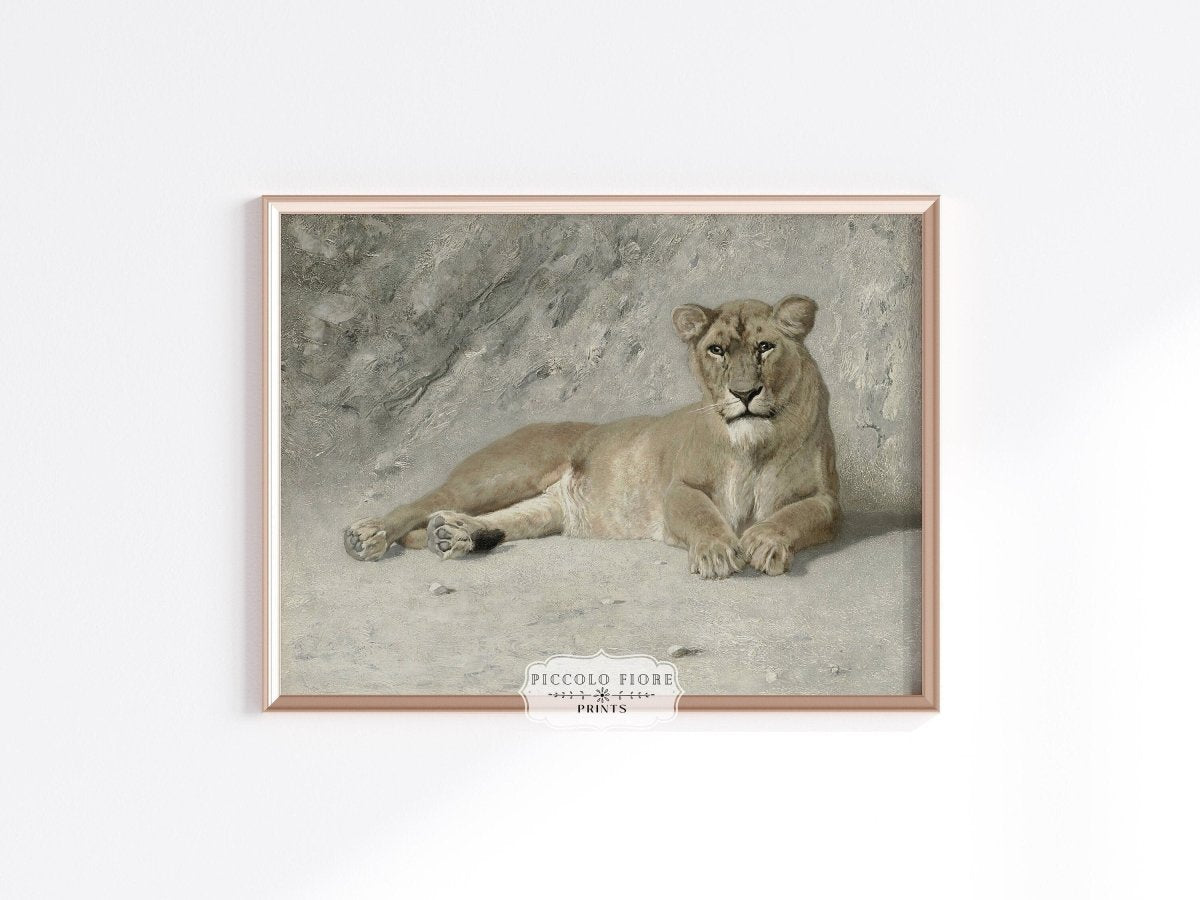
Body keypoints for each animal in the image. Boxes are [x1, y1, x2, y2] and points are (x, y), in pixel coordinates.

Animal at [344, 295, 840, 579]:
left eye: (765, 347)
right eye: (717, 350)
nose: (744, 393)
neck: (755, 445)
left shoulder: (828, 501)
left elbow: (795, 515)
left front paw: (765, 540)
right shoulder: (679, 488)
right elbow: (702, 514)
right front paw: (719, 552)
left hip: (546, 509)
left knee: (505, 519)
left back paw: (454, 536)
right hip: (501, 474)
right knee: (426, 502)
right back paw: (368, 536)